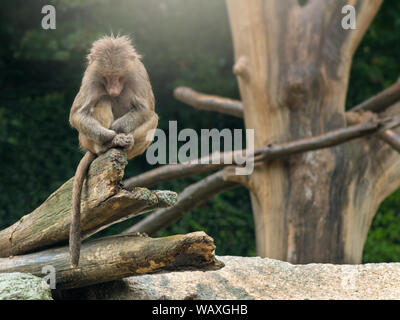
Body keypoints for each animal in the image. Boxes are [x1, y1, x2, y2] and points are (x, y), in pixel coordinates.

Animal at [69, 34, 158, 268]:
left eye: (118, 76)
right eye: (107, 77)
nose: (113, 89)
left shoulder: (138, 74)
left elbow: (146, 110)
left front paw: (119, 133)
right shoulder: (91, 76)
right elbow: (78, 114)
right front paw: (113, 136)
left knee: (152, 118)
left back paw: (124, 143)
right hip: (86, 140)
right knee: (101, 100)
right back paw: (106, 146)